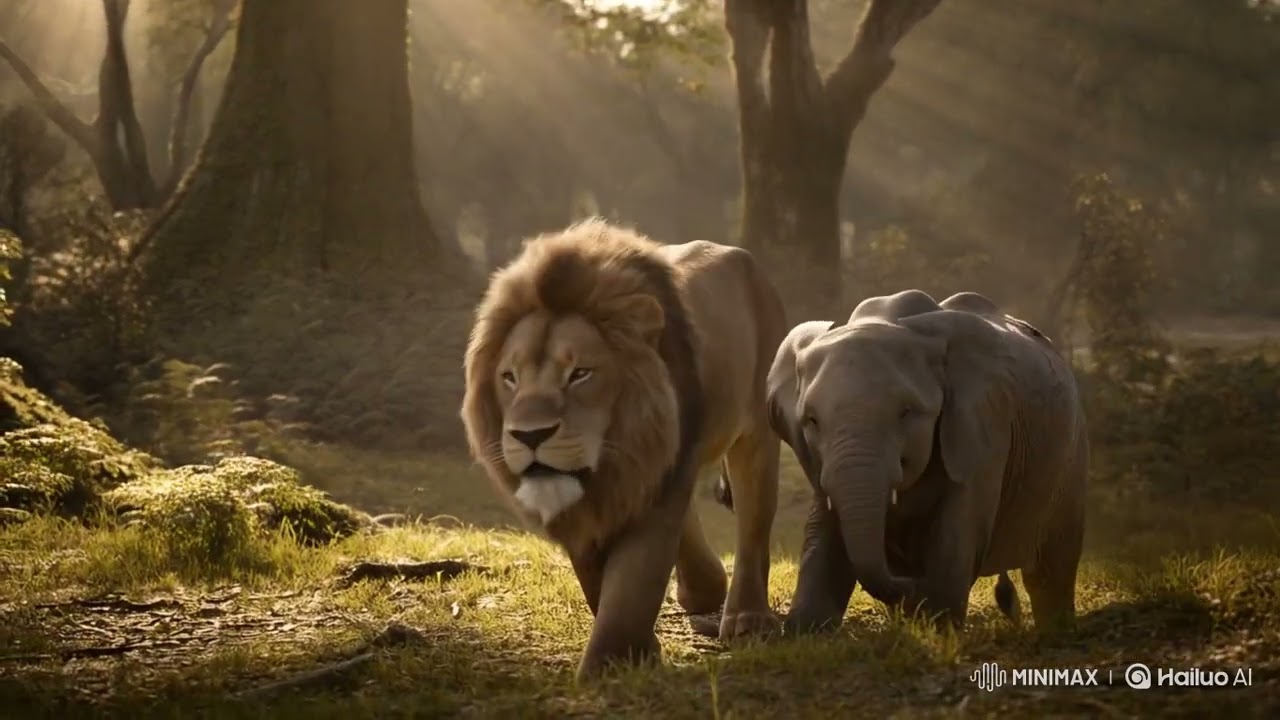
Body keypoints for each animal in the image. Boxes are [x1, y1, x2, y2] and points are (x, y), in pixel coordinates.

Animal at [460, 218, 788, 681]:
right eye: (509, 377)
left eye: (580, 373)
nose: (529, 435)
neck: (615, 460)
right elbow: (595, 583)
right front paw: (638, 652)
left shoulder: (656, 488)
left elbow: (633, 581)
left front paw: (610, 663)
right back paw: (702, 590)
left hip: (756, 429)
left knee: (754, 522)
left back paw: (747, 619)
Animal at [757, 289, 1088, 635]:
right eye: (811, 421)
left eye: (906, 412)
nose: (909, 584)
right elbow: (823, 531)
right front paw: (807, 631)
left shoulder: (984, 429)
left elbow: (958, 529)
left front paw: (938, 632)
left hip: (1070, 459)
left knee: (1051, 569)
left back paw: (1055, 630)